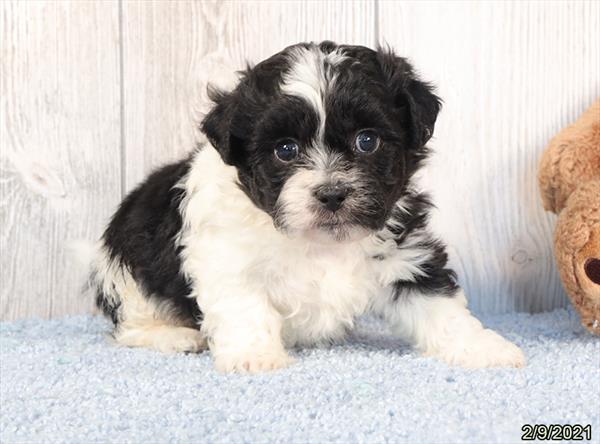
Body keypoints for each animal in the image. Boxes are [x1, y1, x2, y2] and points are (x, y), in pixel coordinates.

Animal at [92, 41, 524, 372]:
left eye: (367, 141)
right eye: (285, 150)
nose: (331, 194)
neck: (320, 242)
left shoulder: (404, 249)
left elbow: (439, 304)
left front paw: (483, 348)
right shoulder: (225, 259)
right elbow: (244, 306)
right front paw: (255, 357)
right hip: (128, 270)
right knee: (131, 323)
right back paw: (176, 336)